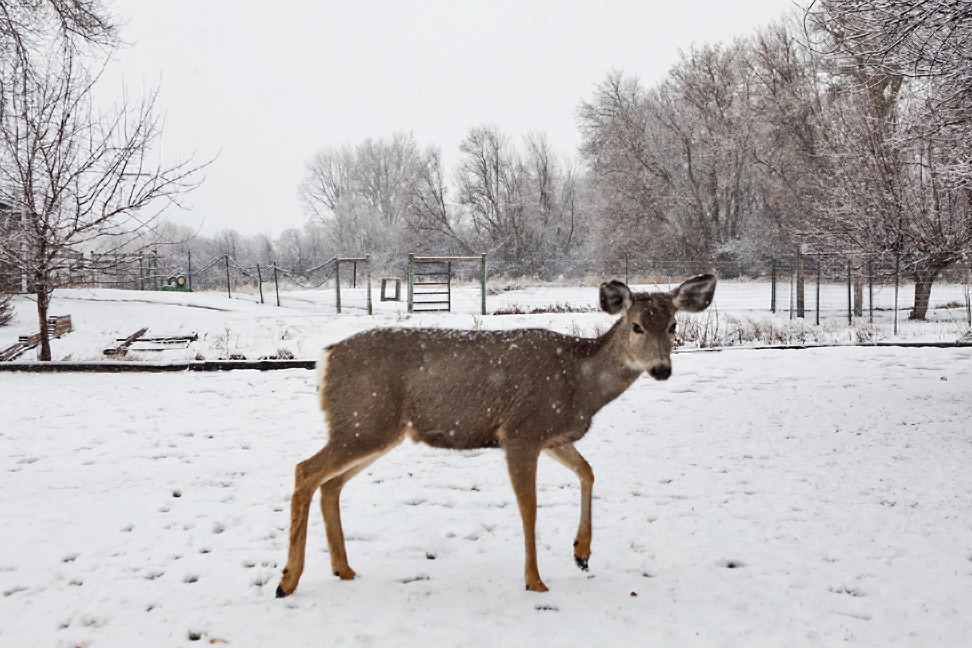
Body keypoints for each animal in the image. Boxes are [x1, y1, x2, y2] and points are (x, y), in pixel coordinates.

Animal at [274, 274, 712, 596]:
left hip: (373, 428)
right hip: (364, 422)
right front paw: (535, 581)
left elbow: (588, 472)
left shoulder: (553, 436)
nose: (662, 369)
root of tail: (325, 359)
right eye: (636, 326)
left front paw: (582, 553)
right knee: (304, 471)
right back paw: (288, 580)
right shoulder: (520, 431)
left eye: (673, 325)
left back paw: (343, 569)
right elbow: (529, 507)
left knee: (330, 485)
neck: (578, 384)